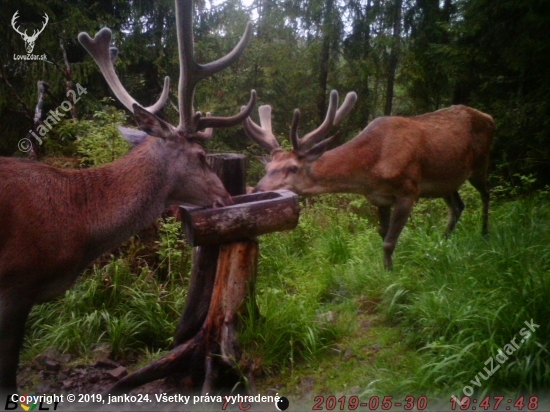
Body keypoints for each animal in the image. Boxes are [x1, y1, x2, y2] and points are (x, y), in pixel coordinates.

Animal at [246, 91, 496, 270]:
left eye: (293, 167)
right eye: (267, 168)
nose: (256, 190)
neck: (371, 169)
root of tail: (490, 117)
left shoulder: (409, 189)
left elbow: (389, 241)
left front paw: (391, 274)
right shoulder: (379, 197)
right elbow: (383, 234)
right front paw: (386, 269)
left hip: (481, 163)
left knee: (486, 193)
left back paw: (484, 234)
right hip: (447, 181)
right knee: (458, 206)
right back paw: (442, 242)